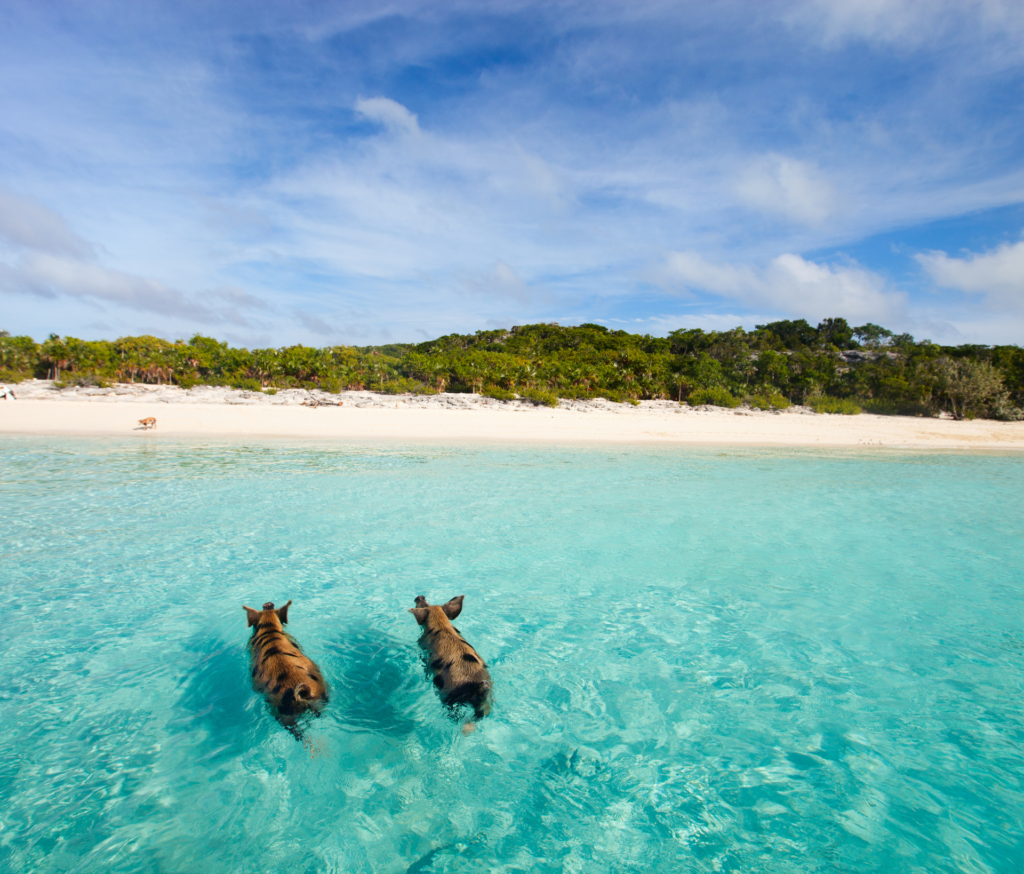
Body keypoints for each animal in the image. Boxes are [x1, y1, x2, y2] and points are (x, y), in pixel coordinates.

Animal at [407, 593, 491, 728]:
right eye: (428, 603)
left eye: (424, 605)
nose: (420, 596)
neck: (442, 626)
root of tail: (476, 685)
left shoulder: (423, 647)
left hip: (447, 694)